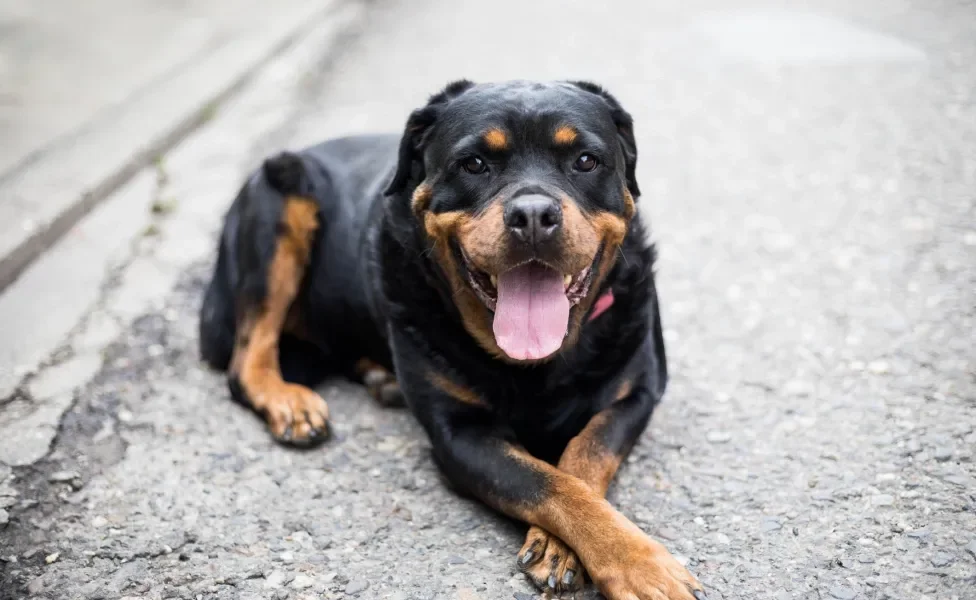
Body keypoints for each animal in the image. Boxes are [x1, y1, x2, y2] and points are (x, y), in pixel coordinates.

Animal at [198, 81, 708, 600]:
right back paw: (292, 402)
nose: (532, 214)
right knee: (247, 358)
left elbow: (584, 456)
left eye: (586, 161)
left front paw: (571, 548)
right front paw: (640, 564)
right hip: (278, 203)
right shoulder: (459, 434)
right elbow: (550, 483)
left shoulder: (635, 395)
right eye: (474, 164)